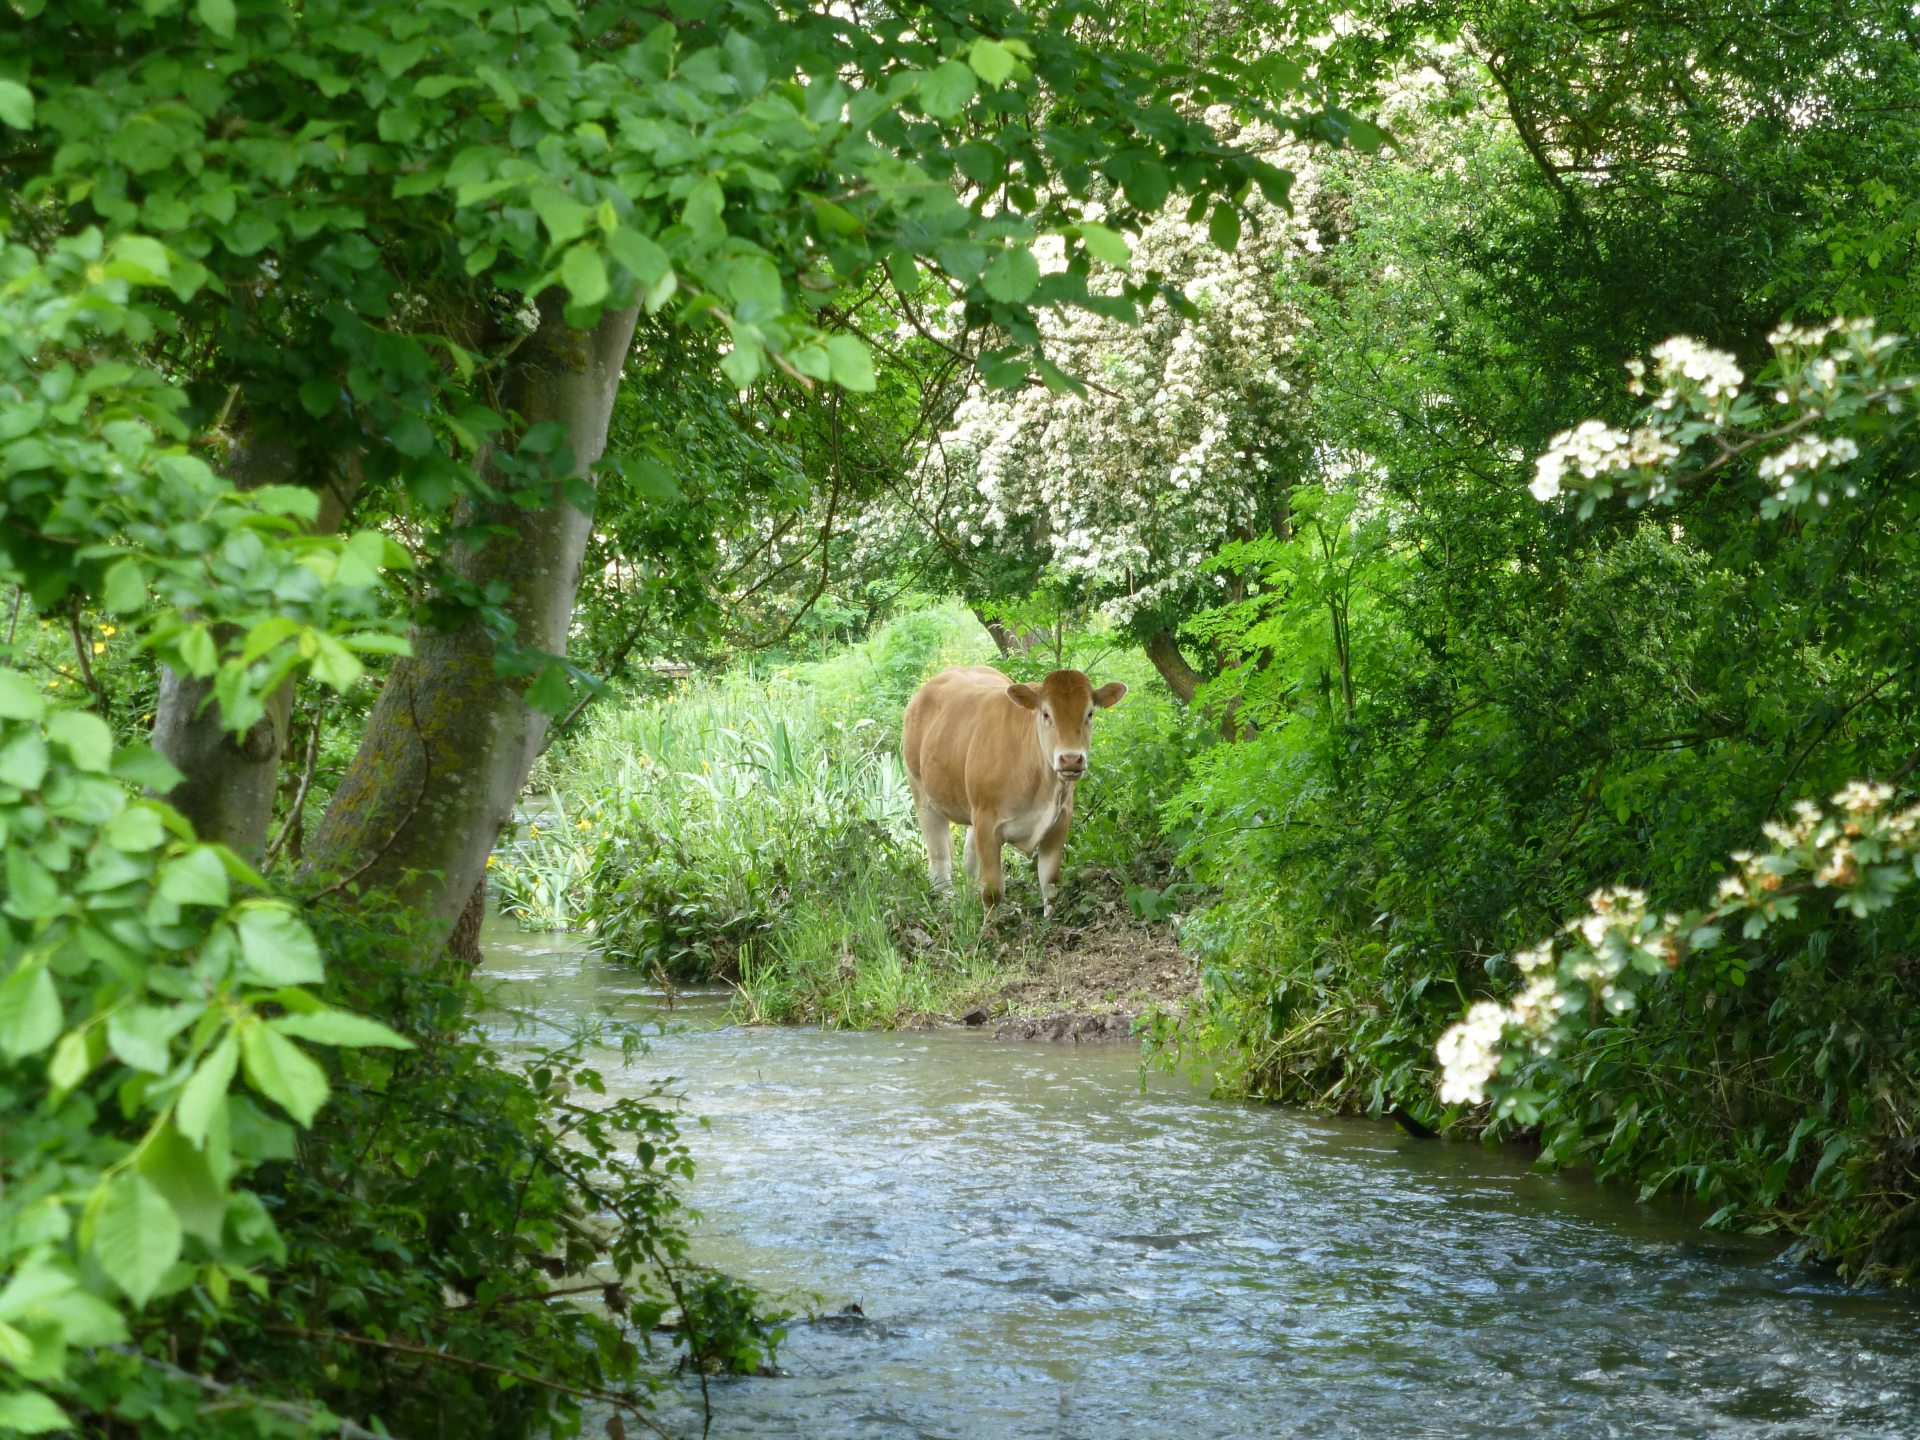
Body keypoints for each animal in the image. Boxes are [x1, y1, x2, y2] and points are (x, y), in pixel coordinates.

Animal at [898, 664, 1121, 913]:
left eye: (1089, 713)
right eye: (1046, 713)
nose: (1071, 759)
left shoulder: (1059, 822)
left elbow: (1050, 882)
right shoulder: (987, 825)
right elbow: (992, 891)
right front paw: (991, 924)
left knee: (968, 856)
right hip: (921, 793)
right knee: (939, 858)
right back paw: (947, 902)